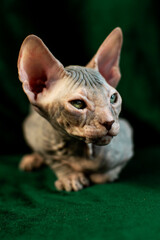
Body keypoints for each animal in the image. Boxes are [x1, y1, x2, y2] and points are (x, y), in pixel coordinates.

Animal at [17, 27, 133, 191]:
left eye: (113, 98)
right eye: (78, 104)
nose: (109, 122)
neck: (80, 149)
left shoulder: (127, 135)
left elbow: (105, 175)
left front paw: (102, 175)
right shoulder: (44, 142)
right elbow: (55, 161)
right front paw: (70, 177)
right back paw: (32, 159)